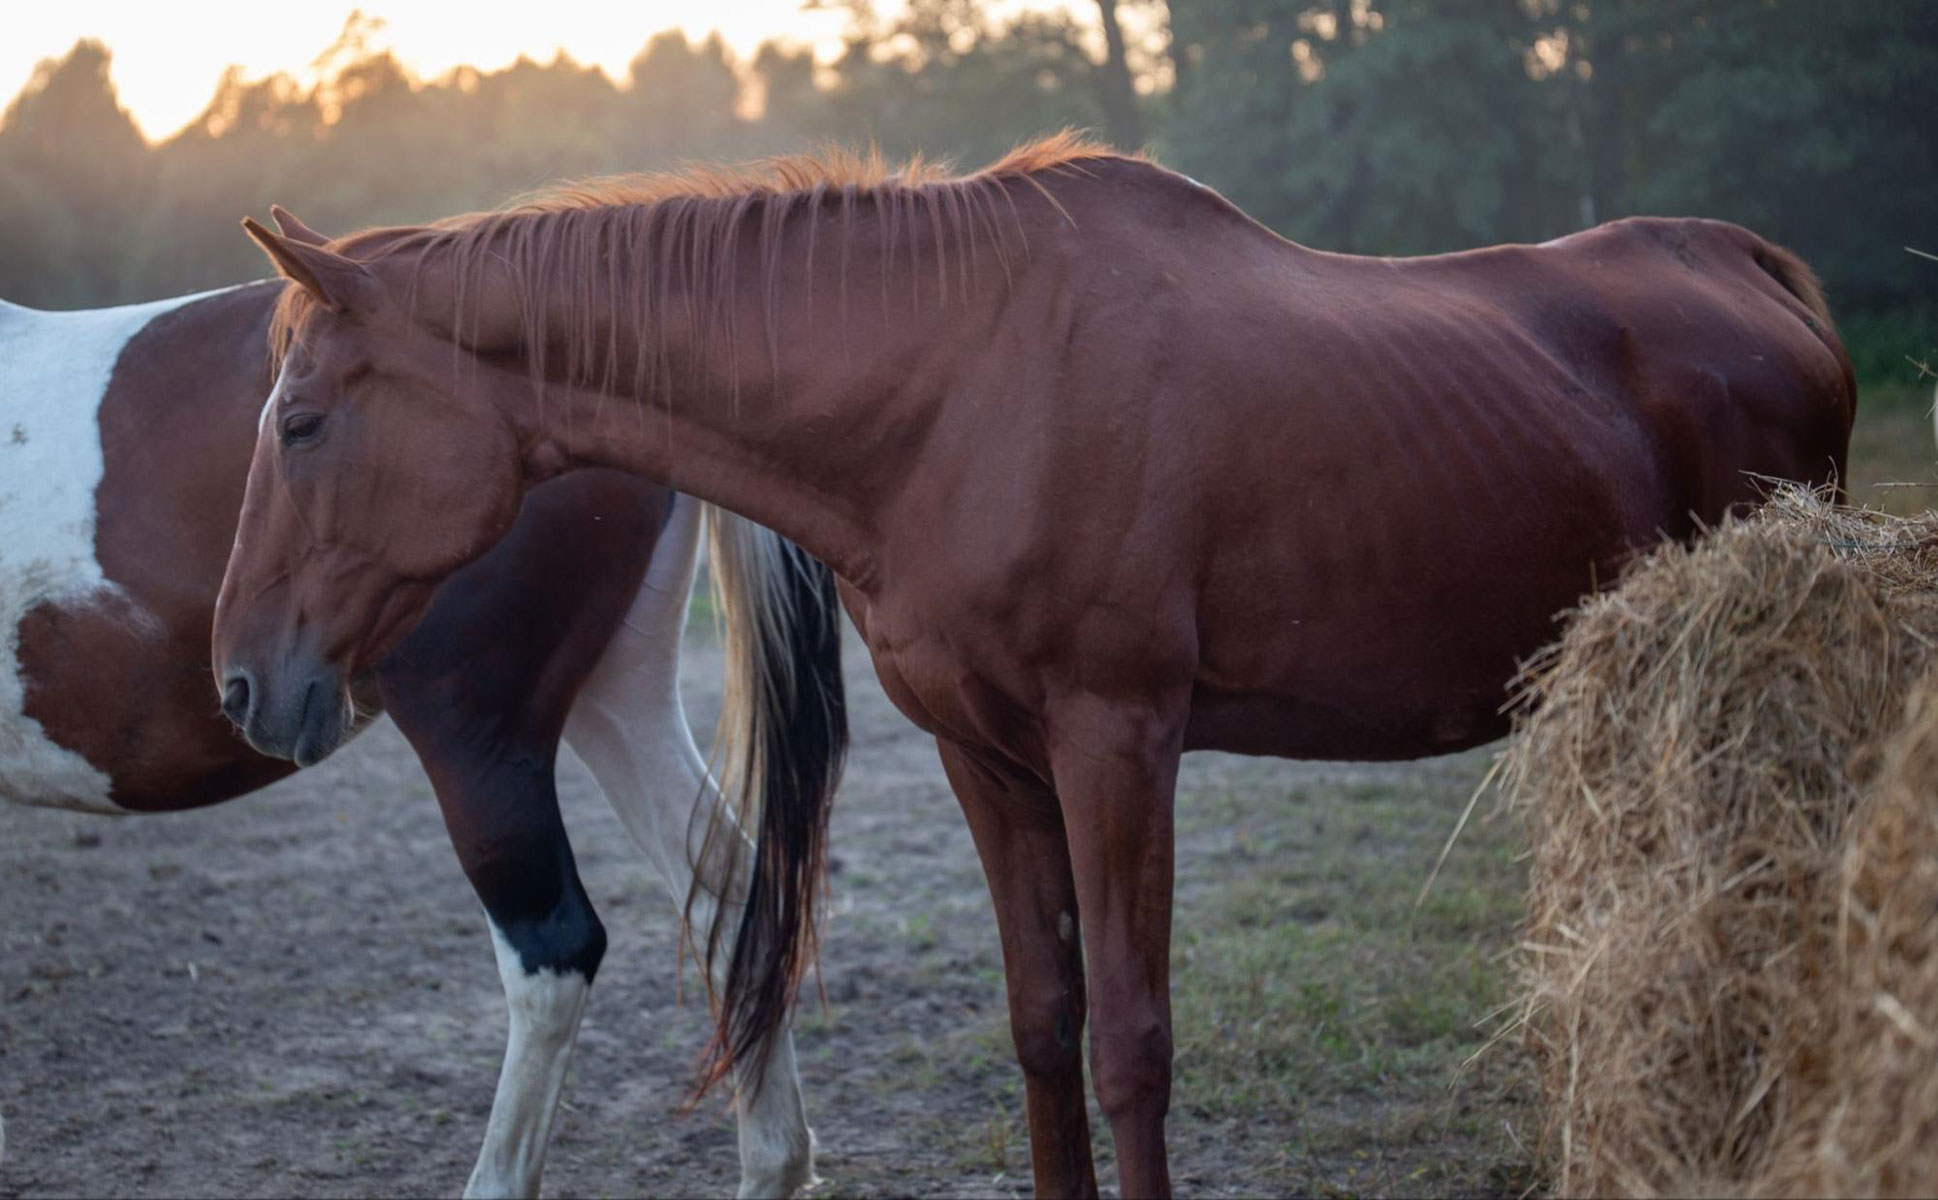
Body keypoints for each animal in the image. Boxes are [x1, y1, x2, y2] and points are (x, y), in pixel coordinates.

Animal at [0, 277, 844, 1197]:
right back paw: (773, 1160)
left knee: (552, 951)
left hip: (477, 742)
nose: (243, 681)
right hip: (620, 695)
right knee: (730, 888)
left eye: (300, 428)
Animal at [208, 135, 1855, 1197]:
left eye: (301, 421)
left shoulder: (1115, 742)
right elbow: (1044, 1027)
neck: (956, 388)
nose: (238, 684)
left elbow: (1130, 1044)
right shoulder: (986, 758)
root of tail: (1753, 271)